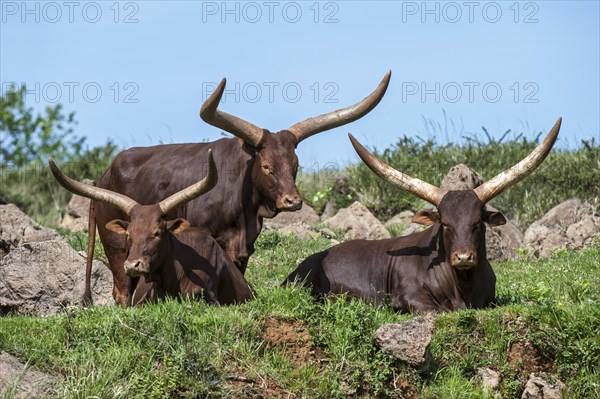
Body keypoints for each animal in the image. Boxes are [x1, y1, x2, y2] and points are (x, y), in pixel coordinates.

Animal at [88, 71, 390, 306]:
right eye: (266, 165)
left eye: (295, 163)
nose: (293, 201)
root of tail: (104, 175)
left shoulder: (242, 252)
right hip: (117, 249)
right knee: (122, 291)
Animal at [284, 119, 560, 316]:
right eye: (445, 224)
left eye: (477, 222)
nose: (463, 257)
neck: (463, 285)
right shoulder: (407, 298)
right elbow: (435, 311)